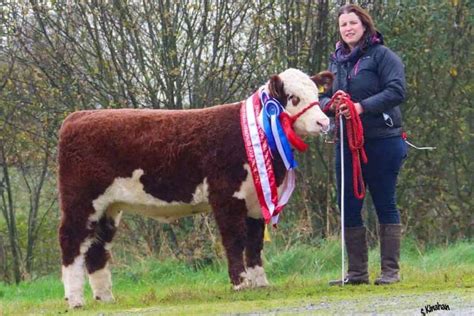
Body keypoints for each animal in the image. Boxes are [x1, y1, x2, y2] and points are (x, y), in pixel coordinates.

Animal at [58, 68, 330, 308]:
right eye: (294, 98)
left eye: (316, 95)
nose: (323, 121)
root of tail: (77, 117)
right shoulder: (226, 196)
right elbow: (234, 240)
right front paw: (240, 283)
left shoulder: (255, 200)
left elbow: (254, 243)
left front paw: (260, 282)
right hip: (81, 201)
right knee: (71, 240)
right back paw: (75, 299)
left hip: (109, 208)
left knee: (97, 248)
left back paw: (105, 297)